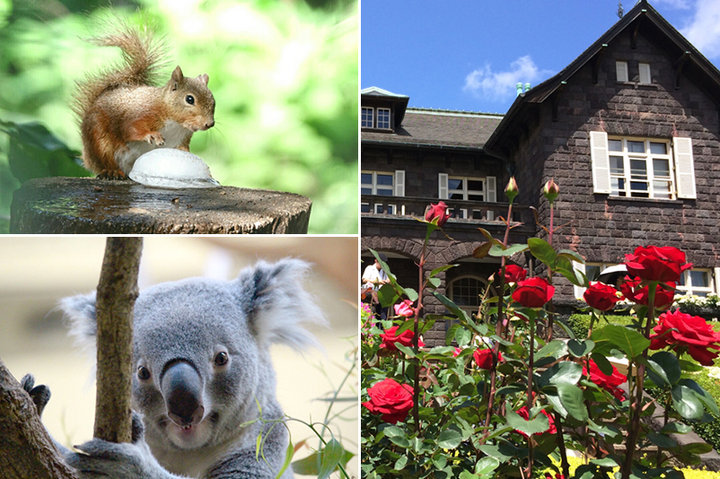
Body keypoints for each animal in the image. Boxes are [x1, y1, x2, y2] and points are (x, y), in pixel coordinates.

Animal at [73, 24, 215, 178]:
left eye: (213, 101)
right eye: (190, 99)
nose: (210, 123)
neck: (176, 123)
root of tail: (88, 157)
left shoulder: (182, 138)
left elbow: (183, 149)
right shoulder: (141, 113)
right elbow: (130, 128)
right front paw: (151, 135)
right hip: (100, 140)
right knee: (106, 160)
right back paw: (112, 170)